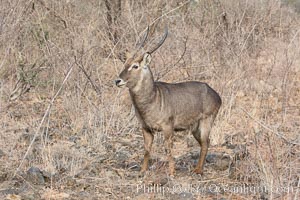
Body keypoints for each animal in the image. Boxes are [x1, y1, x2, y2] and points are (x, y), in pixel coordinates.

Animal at [116, 26, 221, 175]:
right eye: (125, 64)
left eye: (135, 66)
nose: (118, 81)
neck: (153, 98)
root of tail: (215, 93)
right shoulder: (146, 128)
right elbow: (146, 150)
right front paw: (142, 171)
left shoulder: (168, 127)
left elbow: (168, 149)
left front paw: (171, 172)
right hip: (195, 128)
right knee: (203, 143)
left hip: (206, 121)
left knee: (206, 142)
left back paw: (198, 170)